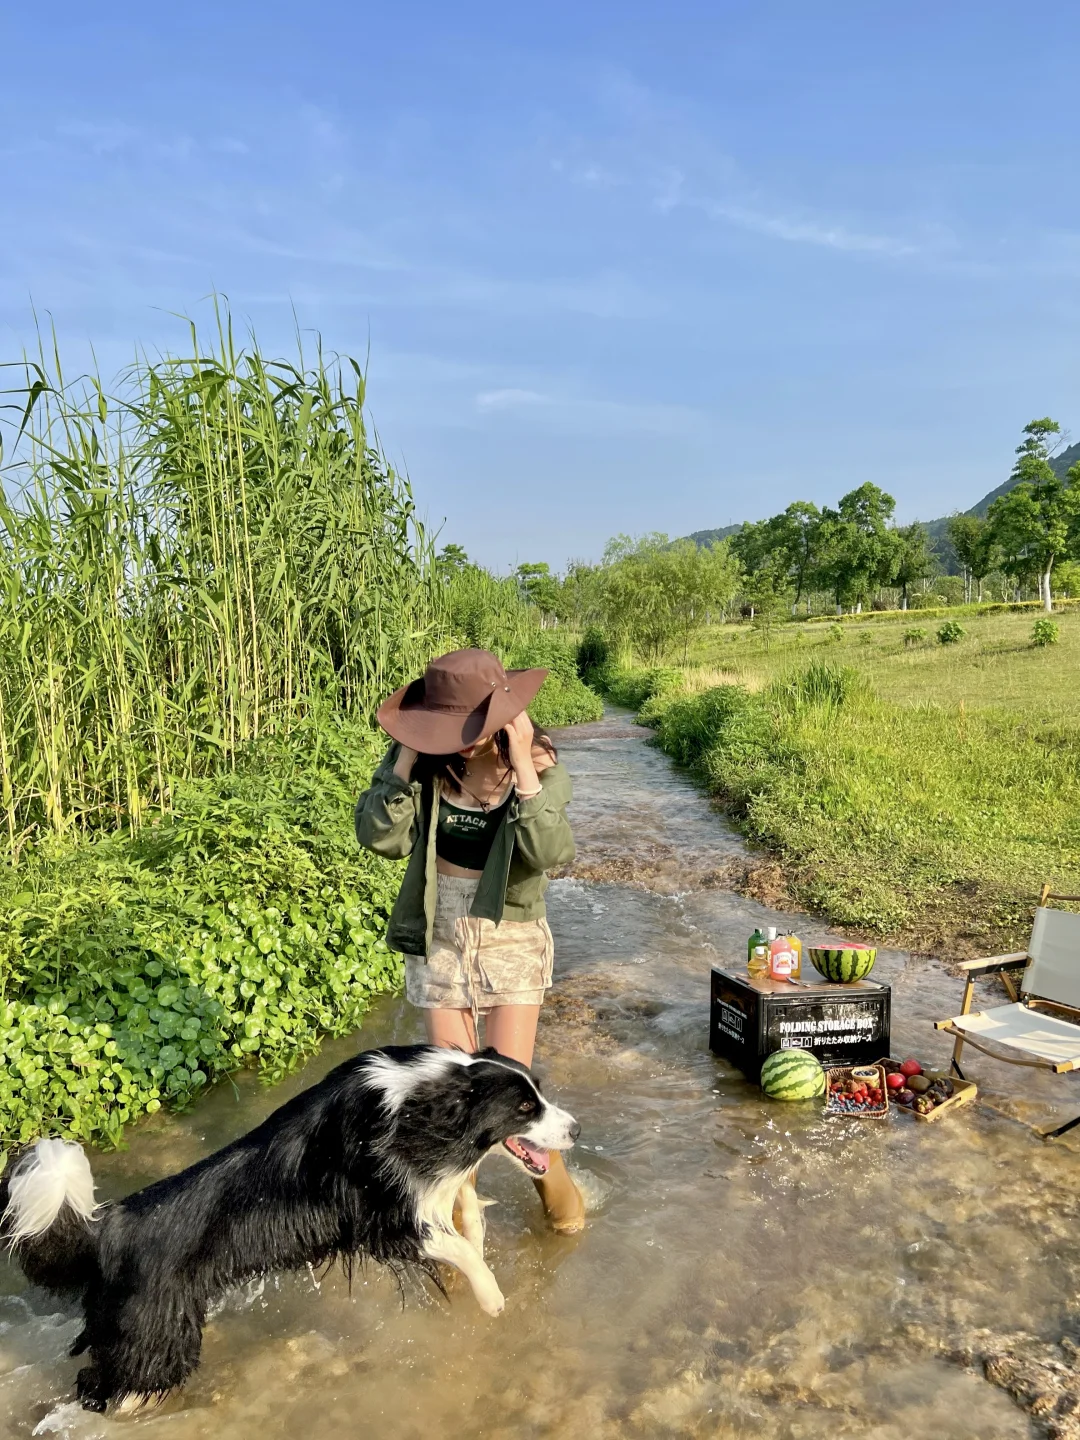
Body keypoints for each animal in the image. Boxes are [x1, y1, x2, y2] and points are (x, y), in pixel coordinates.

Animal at [0, 1042, 584, 1411]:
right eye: (524, 1107)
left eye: (539, 1093)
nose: (576, 1129)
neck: (426, 1101)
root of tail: (108, 1228)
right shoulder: (378, 1216)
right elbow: (453, 1243)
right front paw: (493, 1299)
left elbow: (462, 1206)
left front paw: (475, 1233)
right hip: (154, 1335)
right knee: (110, 1385)